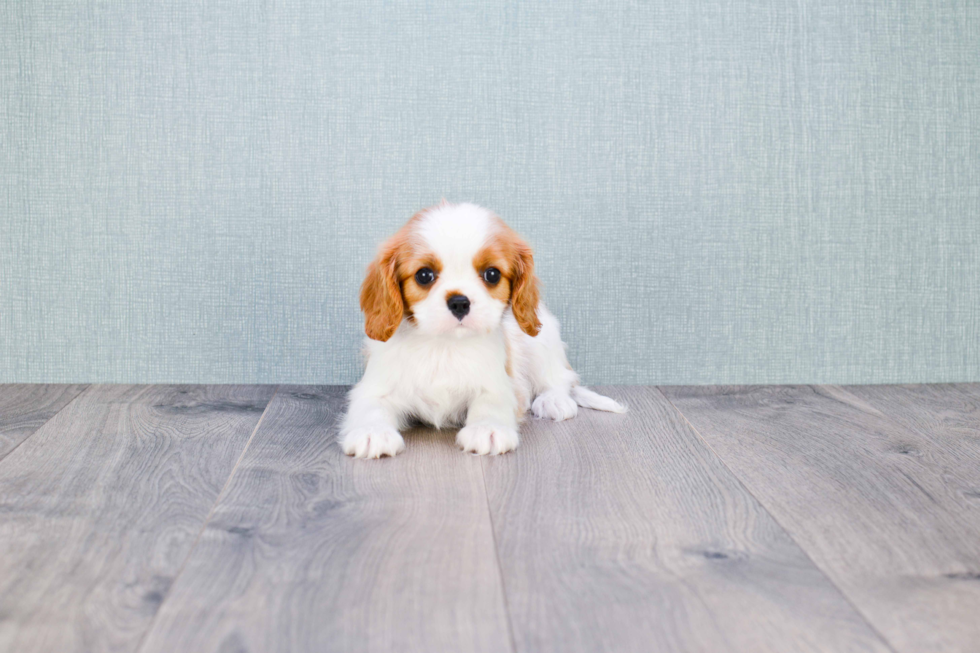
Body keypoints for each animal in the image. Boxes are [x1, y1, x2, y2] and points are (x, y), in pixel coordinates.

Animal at [340, 200, 624, 458]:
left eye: (492, 274)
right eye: (424, 275)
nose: (459, 302)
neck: (445, 345)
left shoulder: (499, 383)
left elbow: (491, 401)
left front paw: (488, 429)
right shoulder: (375, 386)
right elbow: (370, 406)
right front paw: (372, 432)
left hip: (542, 342)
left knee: (560, 378)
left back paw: (553, 400)